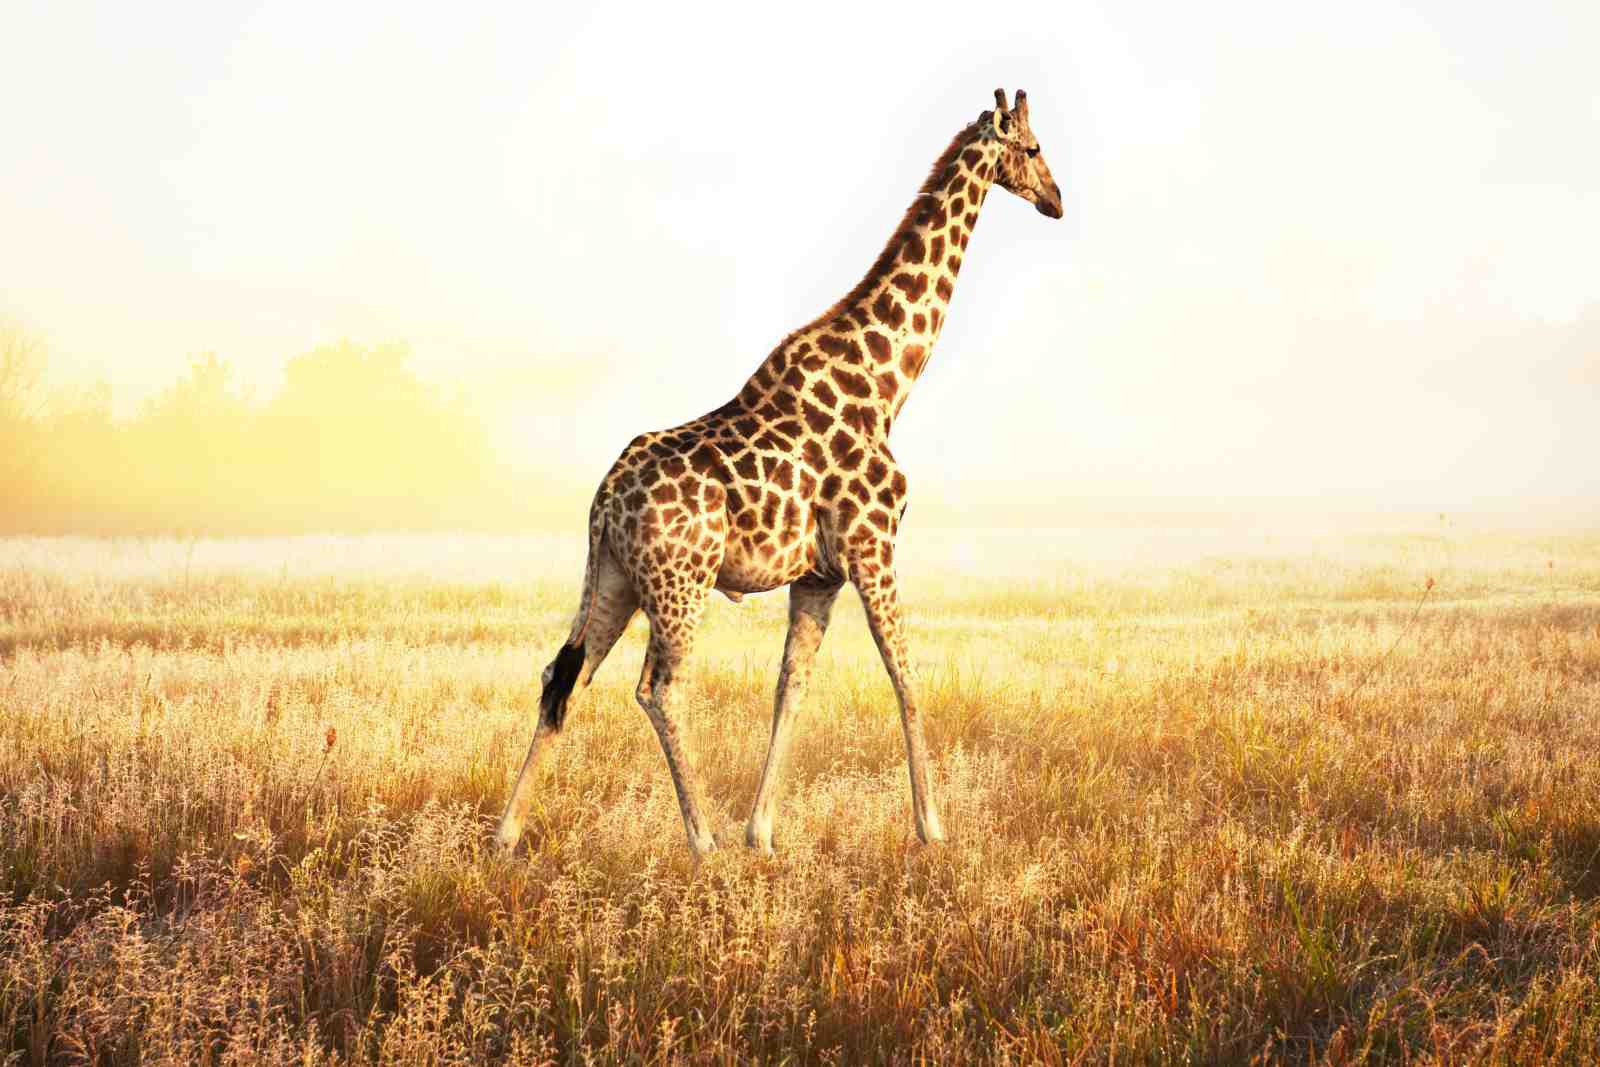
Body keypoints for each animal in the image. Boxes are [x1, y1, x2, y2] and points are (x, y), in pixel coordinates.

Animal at [496, 88, 1063, 857]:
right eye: (1033, 148)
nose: (1057, 200)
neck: (886, 383)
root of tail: (603, 500)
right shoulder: (873, 547)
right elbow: (906, 676)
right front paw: (932, 829)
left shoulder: (819, 573)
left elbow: (790, 686)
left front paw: (762, 832)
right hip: (680, 583)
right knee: (658, 687)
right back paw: (700, 840)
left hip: (614, 578)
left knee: (565, 675)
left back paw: (507, 833)